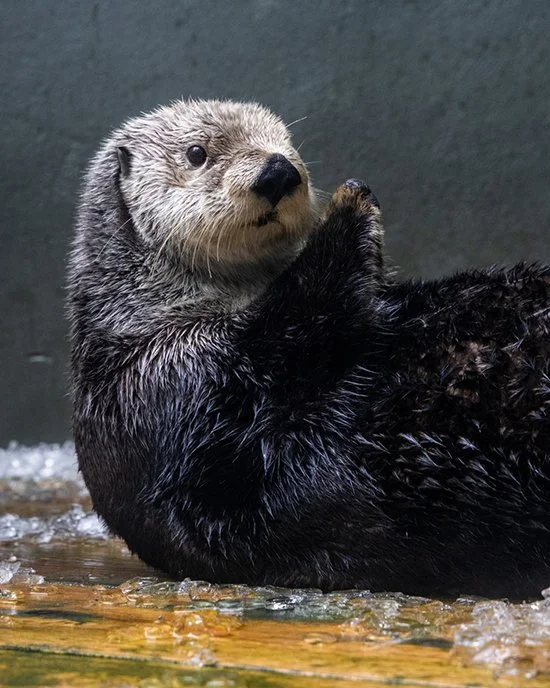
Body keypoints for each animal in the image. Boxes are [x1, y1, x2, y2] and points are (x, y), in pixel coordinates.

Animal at [69, 99, 550, 599]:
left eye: (287, 142)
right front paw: (349, 207)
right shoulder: (168, 379)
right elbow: (286, 335)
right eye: (197, 153)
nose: (278, 171)